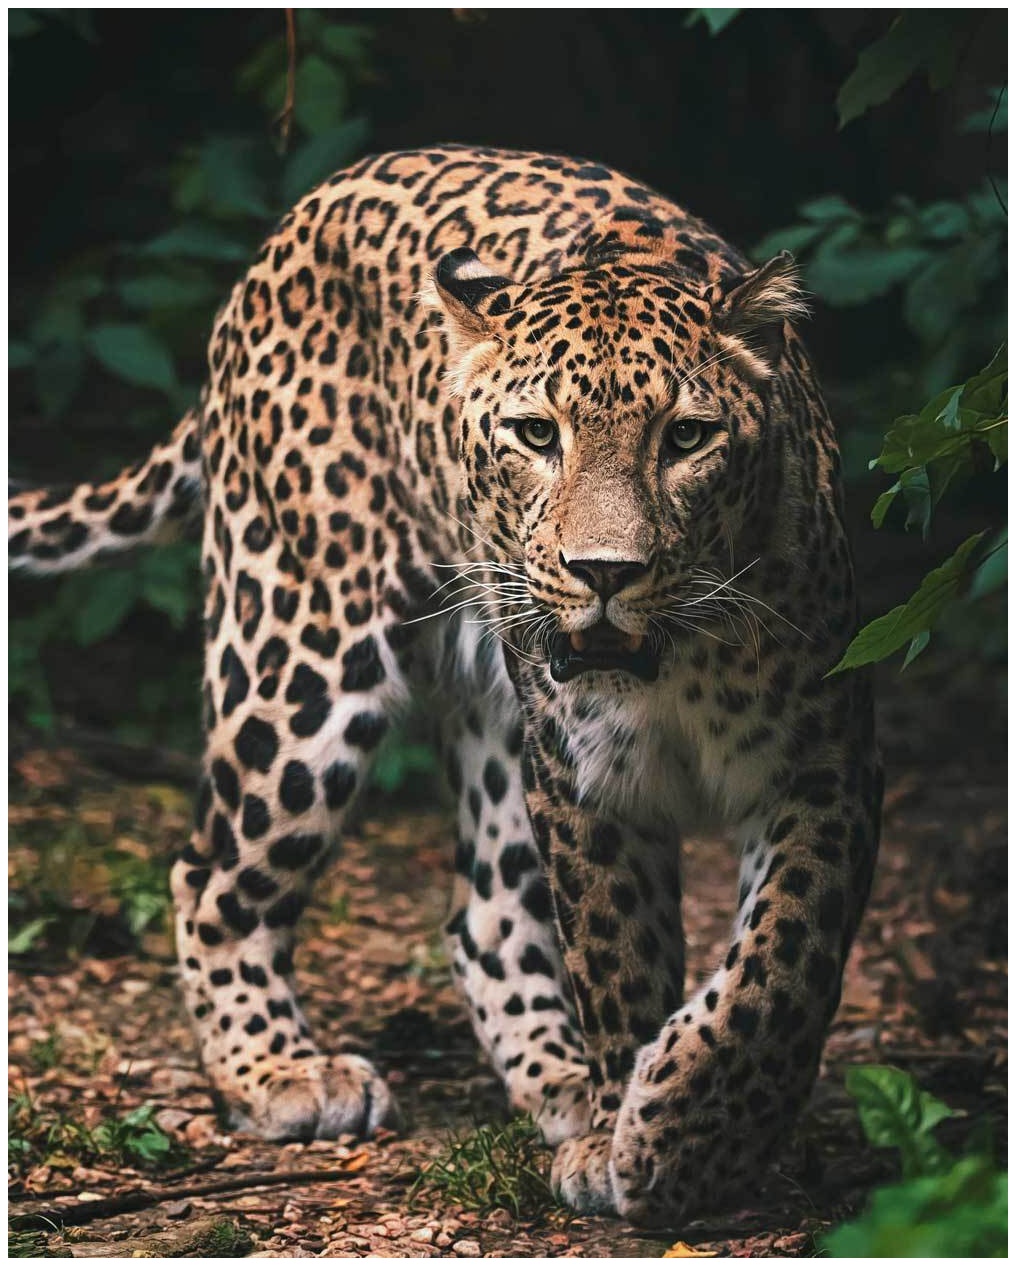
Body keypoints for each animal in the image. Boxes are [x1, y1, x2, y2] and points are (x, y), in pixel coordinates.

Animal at [8, 144, 881, 1226]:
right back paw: (281, 1071)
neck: (672, 664)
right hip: (299, 648)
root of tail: (300, 215)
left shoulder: (825, 760)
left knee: (486, 918)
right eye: (536, 434)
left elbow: (782, 963)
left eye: (687, 438)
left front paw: (687, 1129)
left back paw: (559, 1085)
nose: (604, 572)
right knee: (210, 871)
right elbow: (619, 959)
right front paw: (642, 1136)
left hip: (494, 717)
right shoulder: (583, 781)